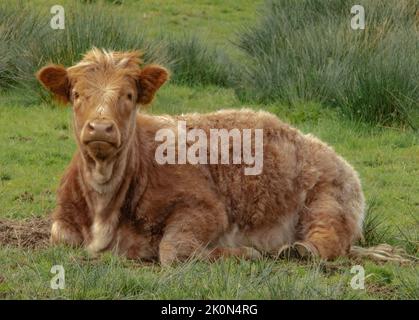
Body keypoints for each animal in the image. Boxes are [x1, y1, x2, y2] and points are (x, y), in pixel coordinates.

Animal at [37, 48, 366, 264]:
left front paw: (244, 252)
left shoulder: (207, 208)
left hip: (329, 201)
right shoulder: (63, 222)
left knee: (329, 239)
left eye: (128, 95)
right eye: (76, 95)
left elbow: (173, 250)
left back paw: (300, 250)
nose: (101, 128)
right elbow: (59, 235)